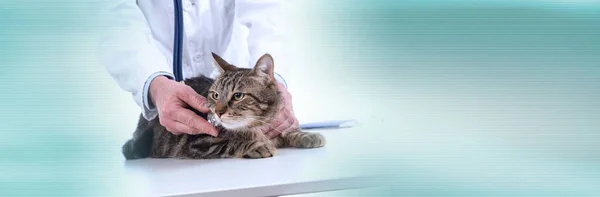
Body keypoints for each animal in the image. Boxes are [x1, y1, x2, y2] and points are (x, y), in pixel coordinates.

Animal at [120, 53, 324, 159]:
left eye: (238, 96)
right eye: (215, 95)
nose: (218, 112)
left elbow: (287, 131)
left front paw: (307, 135)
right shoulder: (199, 143)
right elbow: (231, 142)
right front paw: (257, 146)